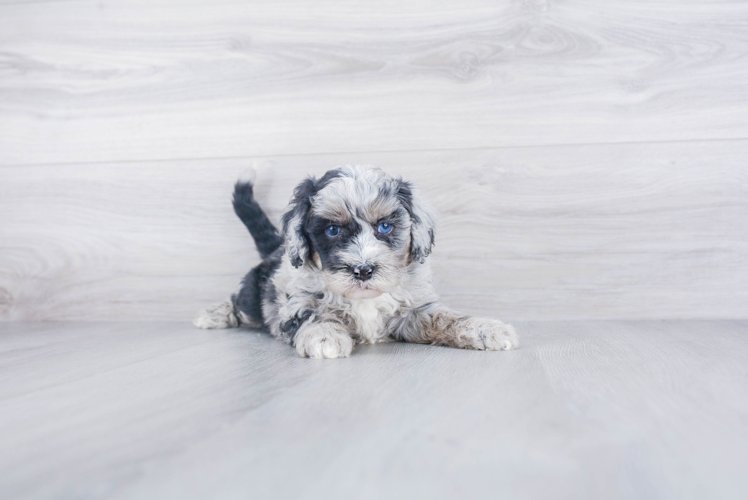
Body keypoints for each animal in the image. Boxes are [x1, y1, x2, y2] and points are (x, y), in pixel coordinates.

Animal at [196, 166, 516, 358]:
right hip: (254, 292)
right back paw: (213, 315)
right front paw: (325, 337)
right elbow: (314, 315)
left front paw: (486, 329)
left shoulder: (413, 312)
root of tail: (277, 247)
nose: (363, 270)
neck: (364, 299)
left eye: (385, 227)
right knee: (239, 302)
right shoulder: (296, 301)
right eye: (332, 230)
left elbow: (446, 317)